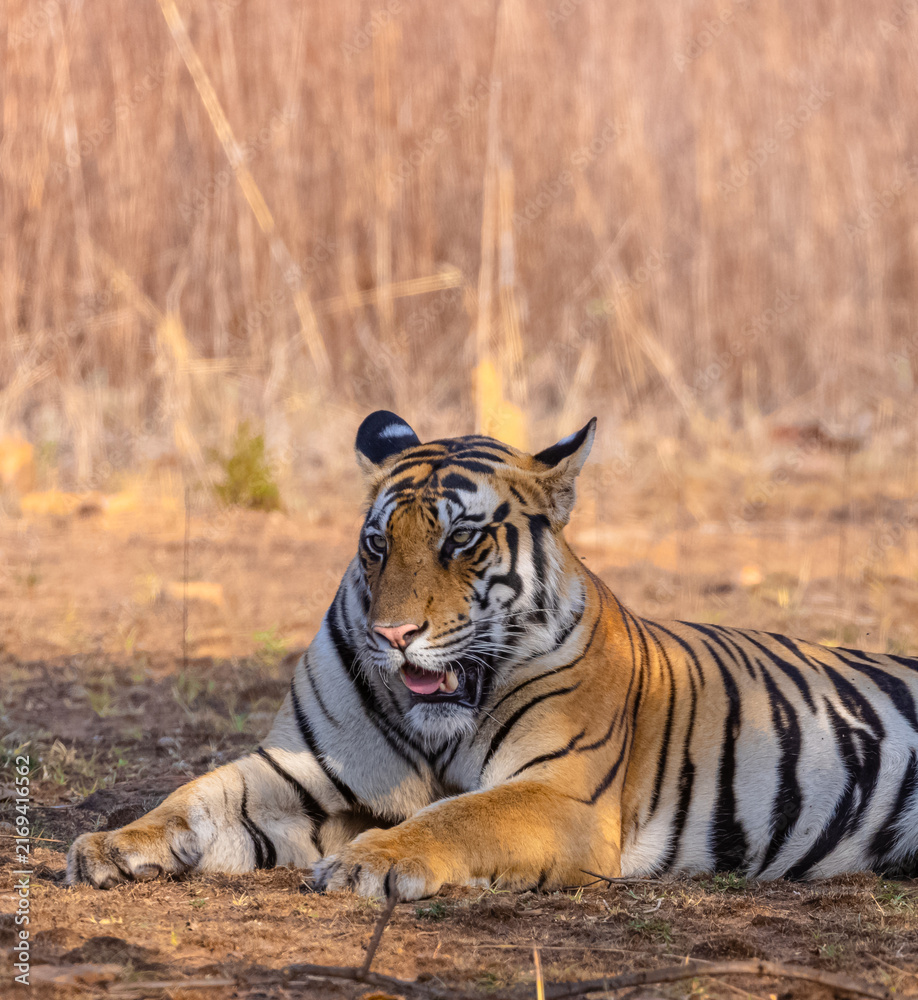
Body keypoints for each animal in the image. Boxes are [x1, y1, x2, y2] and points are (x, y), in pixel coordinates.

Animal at [67, 410, 918, 896]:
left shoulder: (559, 792)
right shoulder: (305, 766)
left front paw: (369, 863)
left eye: (461, 541)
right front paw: (111, 844)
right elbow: (198, 794)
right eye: (377, 546)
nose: (393, 635)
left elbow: (455, 816)